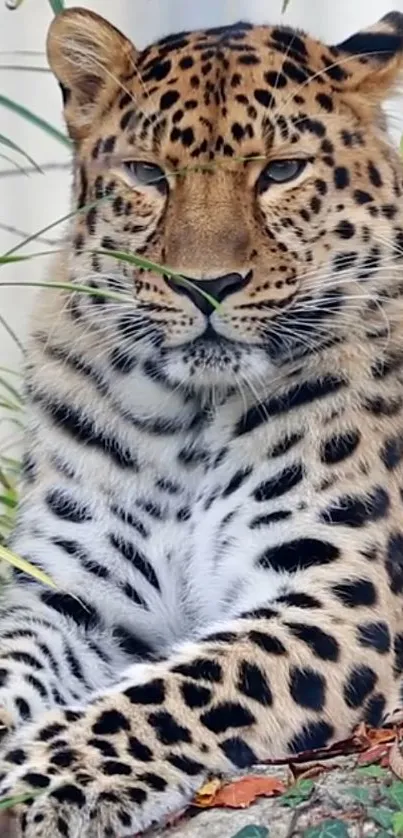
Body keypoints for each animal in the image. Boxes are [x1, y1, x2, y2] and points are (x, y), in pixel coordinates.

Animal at [0, 4, 403, 832]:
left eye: (281, 170)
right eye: (148, 175)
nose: (206, 286)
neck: (186, 418)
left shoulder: (336, 591)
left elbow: (174, 691)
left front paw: (36, 780)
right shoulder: (72, 594)